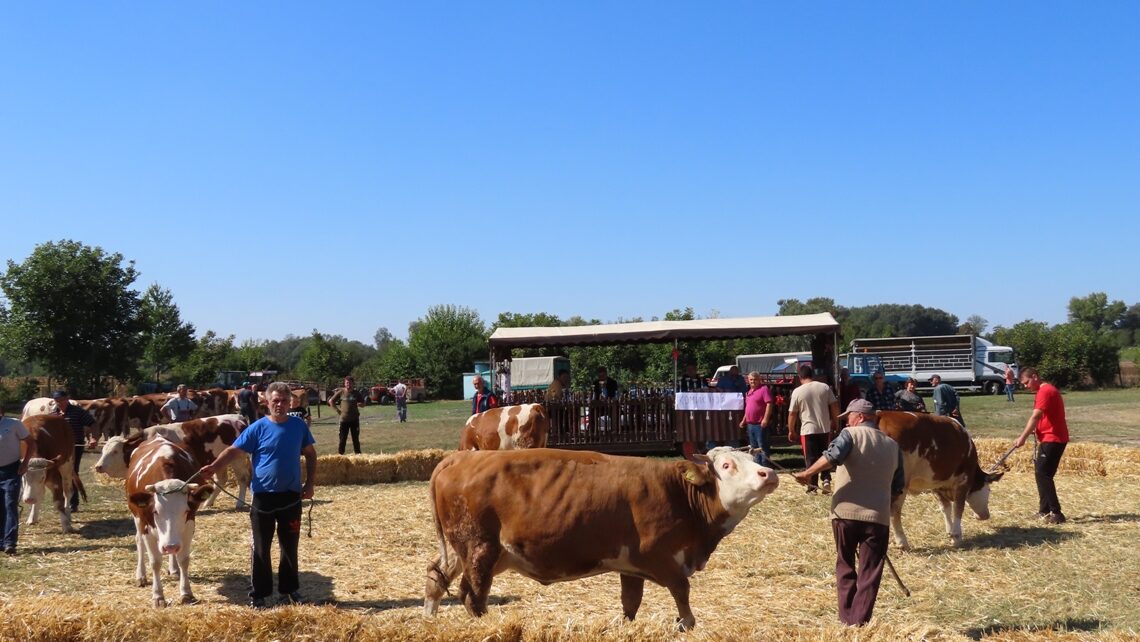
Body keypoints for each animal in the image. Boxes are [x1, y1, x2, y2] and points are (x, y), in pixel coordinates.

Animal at [125, 437, 214, 606]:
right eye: (155, 511)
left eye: (185, 511)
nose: (170, 546)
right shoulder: (146, 525)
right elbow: (155, 562)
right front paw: (158, 596)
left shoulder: (189, 525)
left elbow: (184, 559)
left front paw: (186, 593)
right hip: (137, 517)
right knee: (139, 541)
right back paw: (141, 575)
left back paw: (173, 569)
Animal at [424, 444, 779, 629]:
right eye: (727, 465)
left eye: (754, 460)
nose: (769, 474)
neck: (678, 493)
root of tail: (460, 457)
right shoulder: (659, 557)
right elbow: (682, 590)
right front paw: (688, 624)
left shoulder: (631, 566)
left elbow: (631, 602)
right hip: (479, 549)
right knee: (473, 594)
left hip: (466, 551)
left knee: (436, 577)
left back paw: (430, 618)